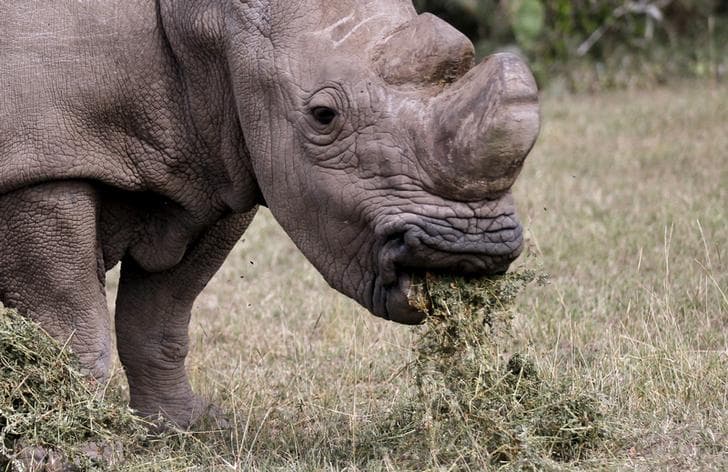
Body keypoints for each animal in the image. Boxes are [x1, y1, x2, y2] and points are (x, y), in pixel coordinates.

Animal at [0, 0, 539, 427]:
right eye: (323, 116)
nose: (470, 249)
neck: (212, 19)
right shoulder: (39, 164)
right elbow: (70, 325)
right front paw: (79, 437)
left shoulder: (215, 160)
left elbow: (161, 314)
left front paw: (186, 428)